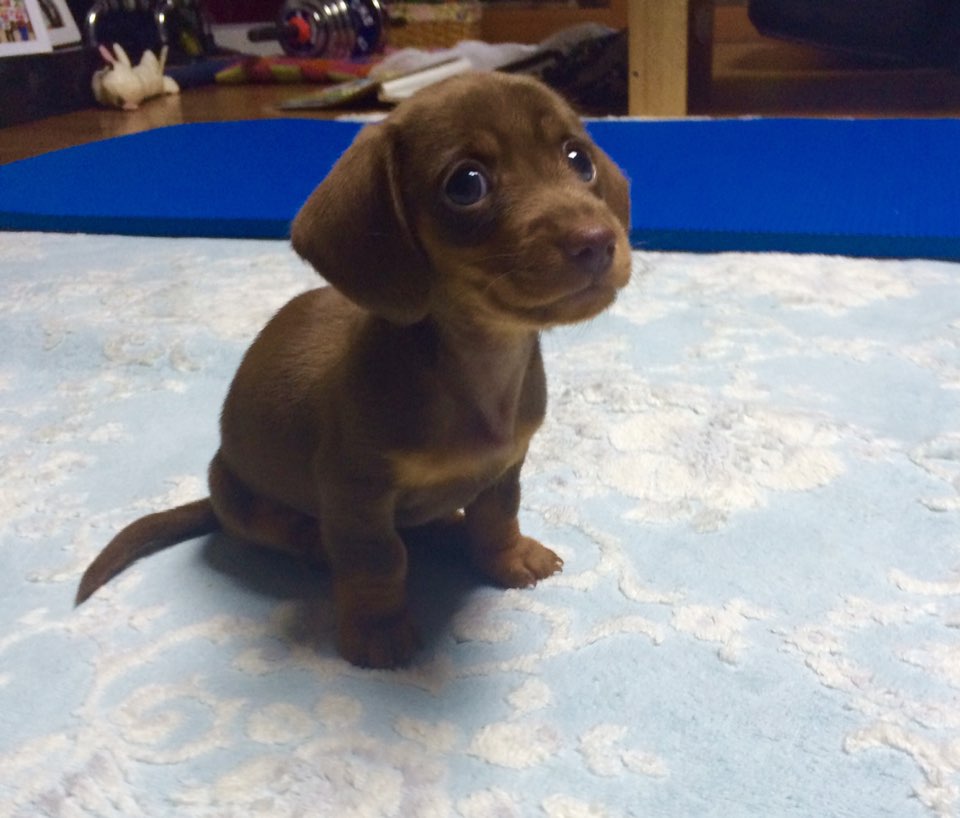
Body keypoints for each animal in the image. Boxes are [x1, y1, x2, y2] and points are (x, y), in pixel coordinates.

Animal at [75, 72, 631, 668]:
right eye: (466, 184)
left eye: (579, 159)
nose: (597, 242)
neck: (478, 368)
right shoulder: (355, 491)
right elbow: (378, 560)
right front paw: (377, 628)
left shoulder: (506, 467)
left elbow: (497, 516)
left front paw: (508, 557)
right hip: (242, 499)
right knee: (302, 535)